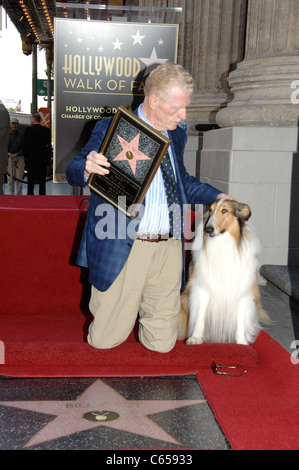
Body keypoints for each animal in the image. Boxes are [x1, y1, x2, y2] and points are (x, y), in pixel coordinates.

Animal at [178, 198, 272, 346]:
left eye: (224, 210)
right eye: (210, 210)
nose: (208, 229)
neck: (222, 245)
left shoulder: (242, 291)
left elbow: (240, 320)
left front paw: (242, 342)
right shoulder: (202, 288)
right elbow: (200, 316)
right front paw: (195, 338)